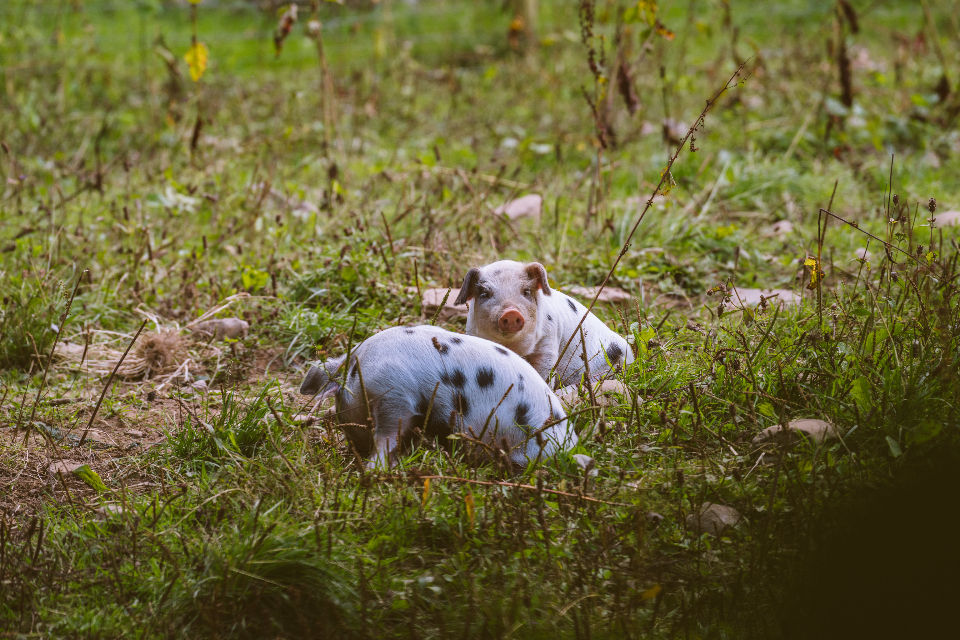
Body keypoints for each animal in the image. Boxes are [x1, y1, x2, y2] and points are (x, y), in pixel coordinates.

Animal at [299, 325, 576, 469]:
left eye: (339, 407)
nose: (354, 450)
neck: (359, 374)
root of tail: (568, 446)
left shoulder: (395, 395)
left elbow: (386, 437)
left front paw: (373, 470)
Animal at [454, 260, 634, 388]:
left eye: (526, 292)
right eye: (485, 294)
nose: (511, 312)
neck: (514, 346)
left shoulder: (548, 341)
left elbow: (544, 371)